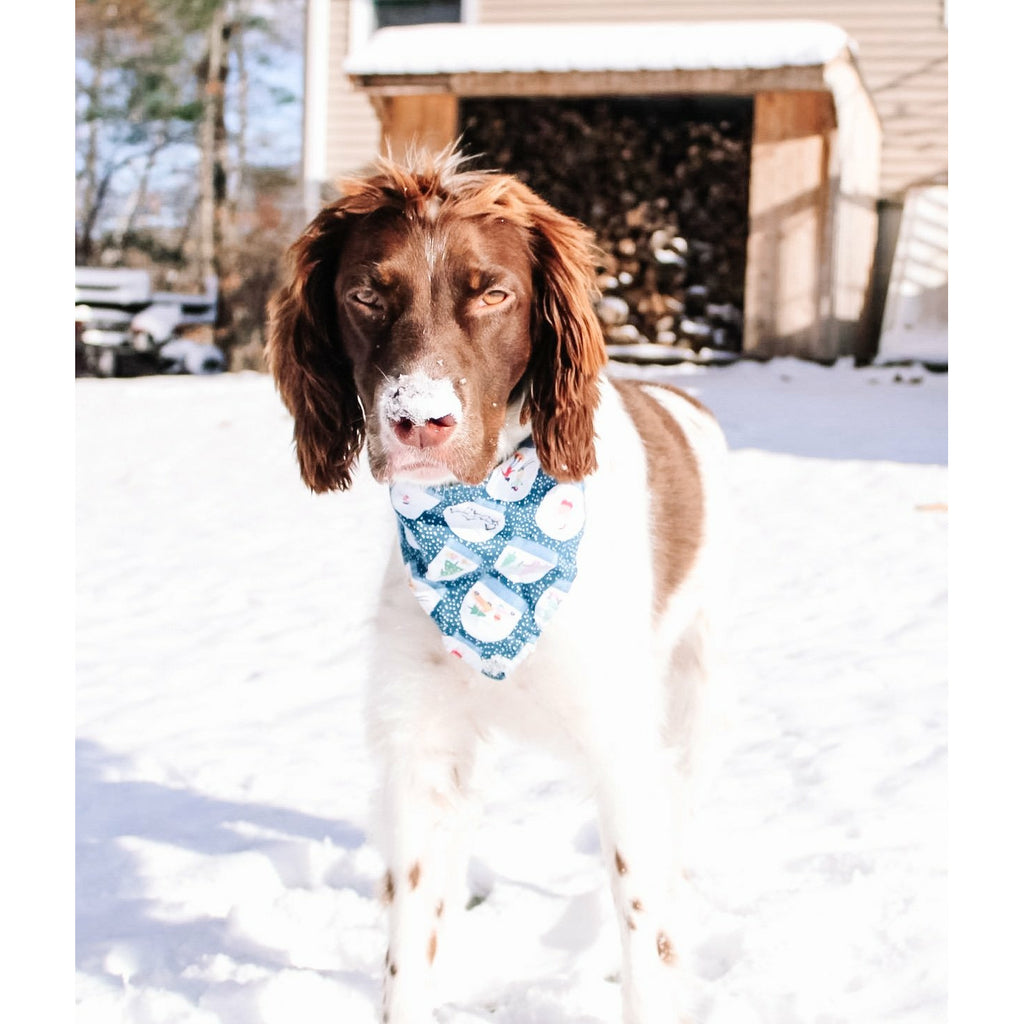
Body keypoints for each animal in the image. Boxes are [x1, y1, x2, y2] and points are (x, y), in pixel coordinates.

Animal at [264, 151, 729, 1024]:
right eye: (366, 295)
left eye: (493, 294)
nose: (419, 422)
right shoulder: (421, 744)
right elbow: (409, 941)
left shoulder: (622, 745)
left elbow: (644, 930)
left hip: (691, 687)